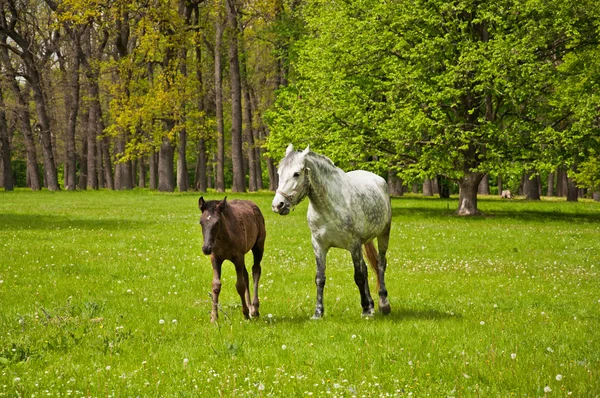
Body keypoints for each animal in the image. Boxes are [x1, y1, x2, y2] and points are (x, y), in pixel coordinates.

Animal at [270, 145, 392, 318]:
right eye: (279, 173)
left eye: (296, 173)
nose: (278, 205)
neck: (329, 206)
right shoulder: (319, 245)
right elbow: (320, 278)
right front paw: (318, 312)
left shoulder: (354, 245)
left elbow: (359, 276)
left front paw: (365, 310)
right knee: (367, 268)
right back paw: (371, 305)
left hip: (383, 234)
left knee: (380, 264)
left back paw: (383, 304)